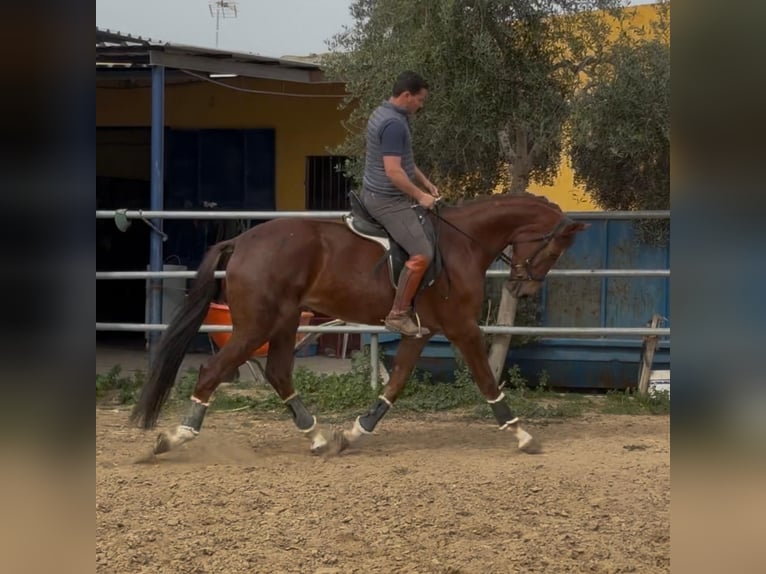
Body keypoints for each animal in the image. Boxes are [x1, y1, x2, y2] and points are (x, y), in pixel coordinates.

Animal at [130, 194, 588, 460]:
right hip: (256, 326)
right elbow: (487, 381)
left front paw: (353, 434)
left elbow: (395, 385)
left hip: (286, 321)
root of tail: (241, 241)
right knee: (212, 371)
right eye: (555, 247)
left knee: (278, 372)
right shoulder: (463, 327)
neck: (464, 243)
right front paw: (522, 434)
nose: (523, 288)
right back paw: (174, 438)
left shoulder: (420, 332)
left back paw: (316, 438)